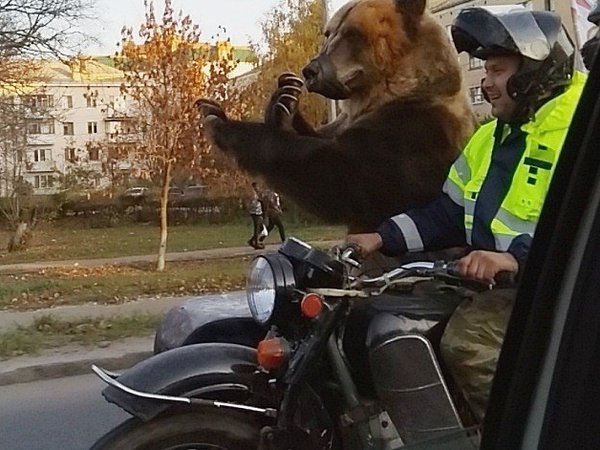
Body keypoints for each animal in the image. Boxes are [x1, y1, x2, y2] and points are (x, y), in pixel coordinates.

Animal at [199, 0, 476, 232]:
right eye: (329, 33)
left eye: (353, 33)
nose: (310, 71)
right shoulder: (345, 122)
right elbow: (320, 139)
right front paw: (284, 100)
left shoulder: (416, 133)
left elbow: (339, 174)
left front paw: (221, 122)